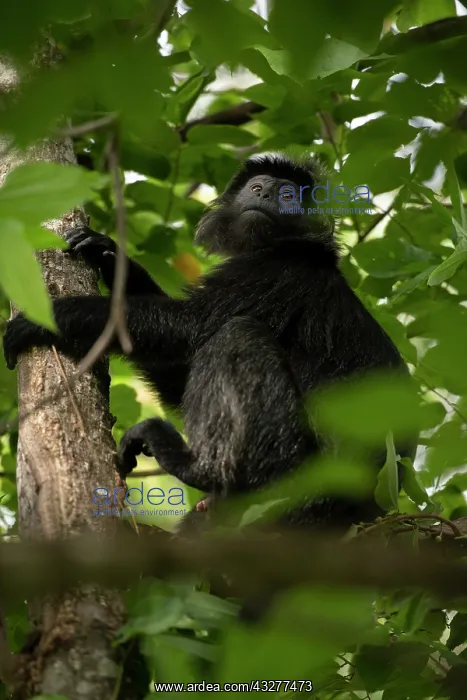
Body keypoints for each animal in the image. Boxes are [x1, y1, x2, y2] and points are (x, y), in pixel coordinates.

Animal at [3, 152, 416, 533]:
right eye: (256, 188)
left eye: (286, 194)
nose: (266, 193)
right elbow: (178, 371)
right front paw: (107, 254)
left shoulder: (278, 271)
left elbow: (187, 326)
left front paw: (48, 318)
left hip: (302, 474)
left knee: (237, 335)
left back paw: (198, 468)